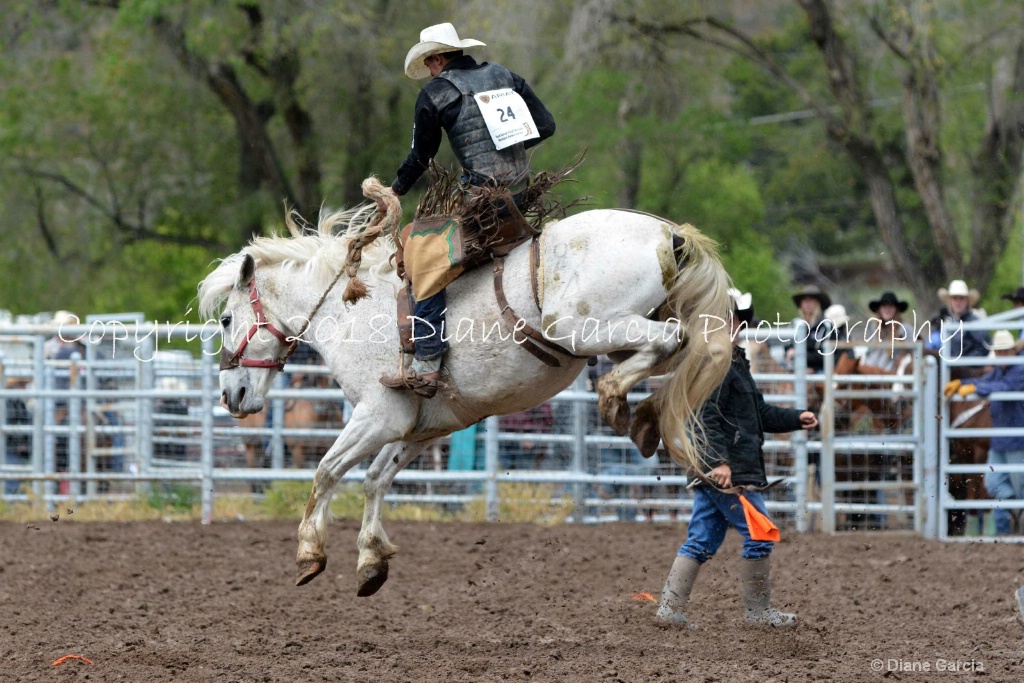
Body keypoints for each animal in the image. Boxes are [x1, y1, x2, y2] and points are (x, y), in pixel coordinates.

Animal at [195, 184, 733, 593]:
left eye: (226, 320)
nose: (230, 396)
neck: (350, 308)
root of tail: (667, 233)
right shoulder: (422, 428)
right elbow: (376, 479)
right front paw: (371, 560)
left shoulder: (377, 416)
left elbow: (327, 471)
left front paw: (310, 553)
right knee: (687, 356)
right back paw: (642, 418)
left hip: (585, 328)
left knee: (671, 342)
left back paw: (617, 399)